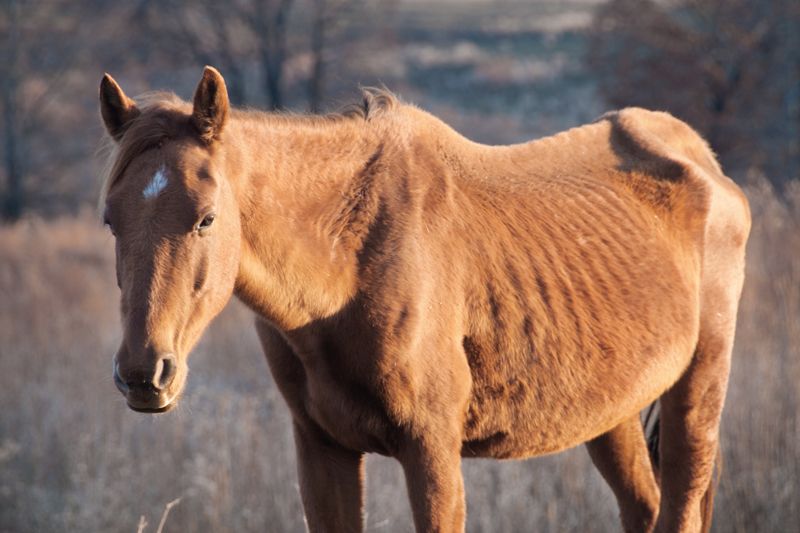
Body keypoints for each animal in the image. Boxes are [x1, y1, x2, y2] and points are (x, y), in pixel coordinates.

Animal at [98, 67, 752, 532]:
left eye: (206, 218)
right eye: (110, 221)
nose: (144, 374)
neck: (353, 260)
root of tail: (705, 162)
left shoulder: (432, 451)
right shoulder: (322, 450)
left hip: (696, 398)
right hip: (613, 415)